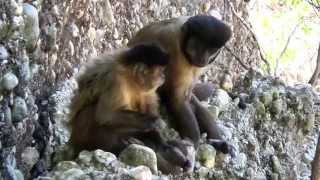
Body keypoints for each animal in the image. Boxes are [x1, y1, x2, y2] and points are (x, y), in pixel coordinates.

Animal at [68, 44, 192, 174]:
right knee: (92, 113)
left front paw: (162, 144)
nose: (163, 76)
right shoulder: (116, 80)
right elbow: (106, 115)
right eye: (160, 71)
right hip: (82, 135)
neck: (130, 77)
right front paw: (155, 122)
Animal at [129, 15, 236, 155]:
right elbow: (178, 98)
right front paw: (192, 141)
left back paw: (219, 143)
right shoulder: (172, 46)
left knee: (194, 103)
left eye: (212, 50)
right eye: (198, 45)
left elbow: (188, 95)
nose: (203, 58)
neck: (182, 38)